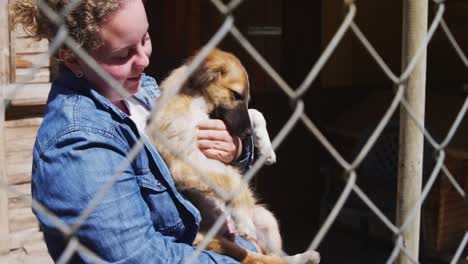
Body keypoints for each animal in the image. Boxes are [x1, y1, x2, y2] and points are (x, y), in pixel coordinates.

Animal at [146, 48, 320, 264]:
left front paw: (266, 147)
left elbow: (255, 113)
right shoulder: (186, 161)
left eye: (246, 98)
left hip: (266, 220)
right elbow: (232, 181)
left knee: (273, 256)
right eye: (236, 94)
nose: (246, 136)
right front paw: (244, 221)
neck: (199, 105)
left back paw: (304, 256)